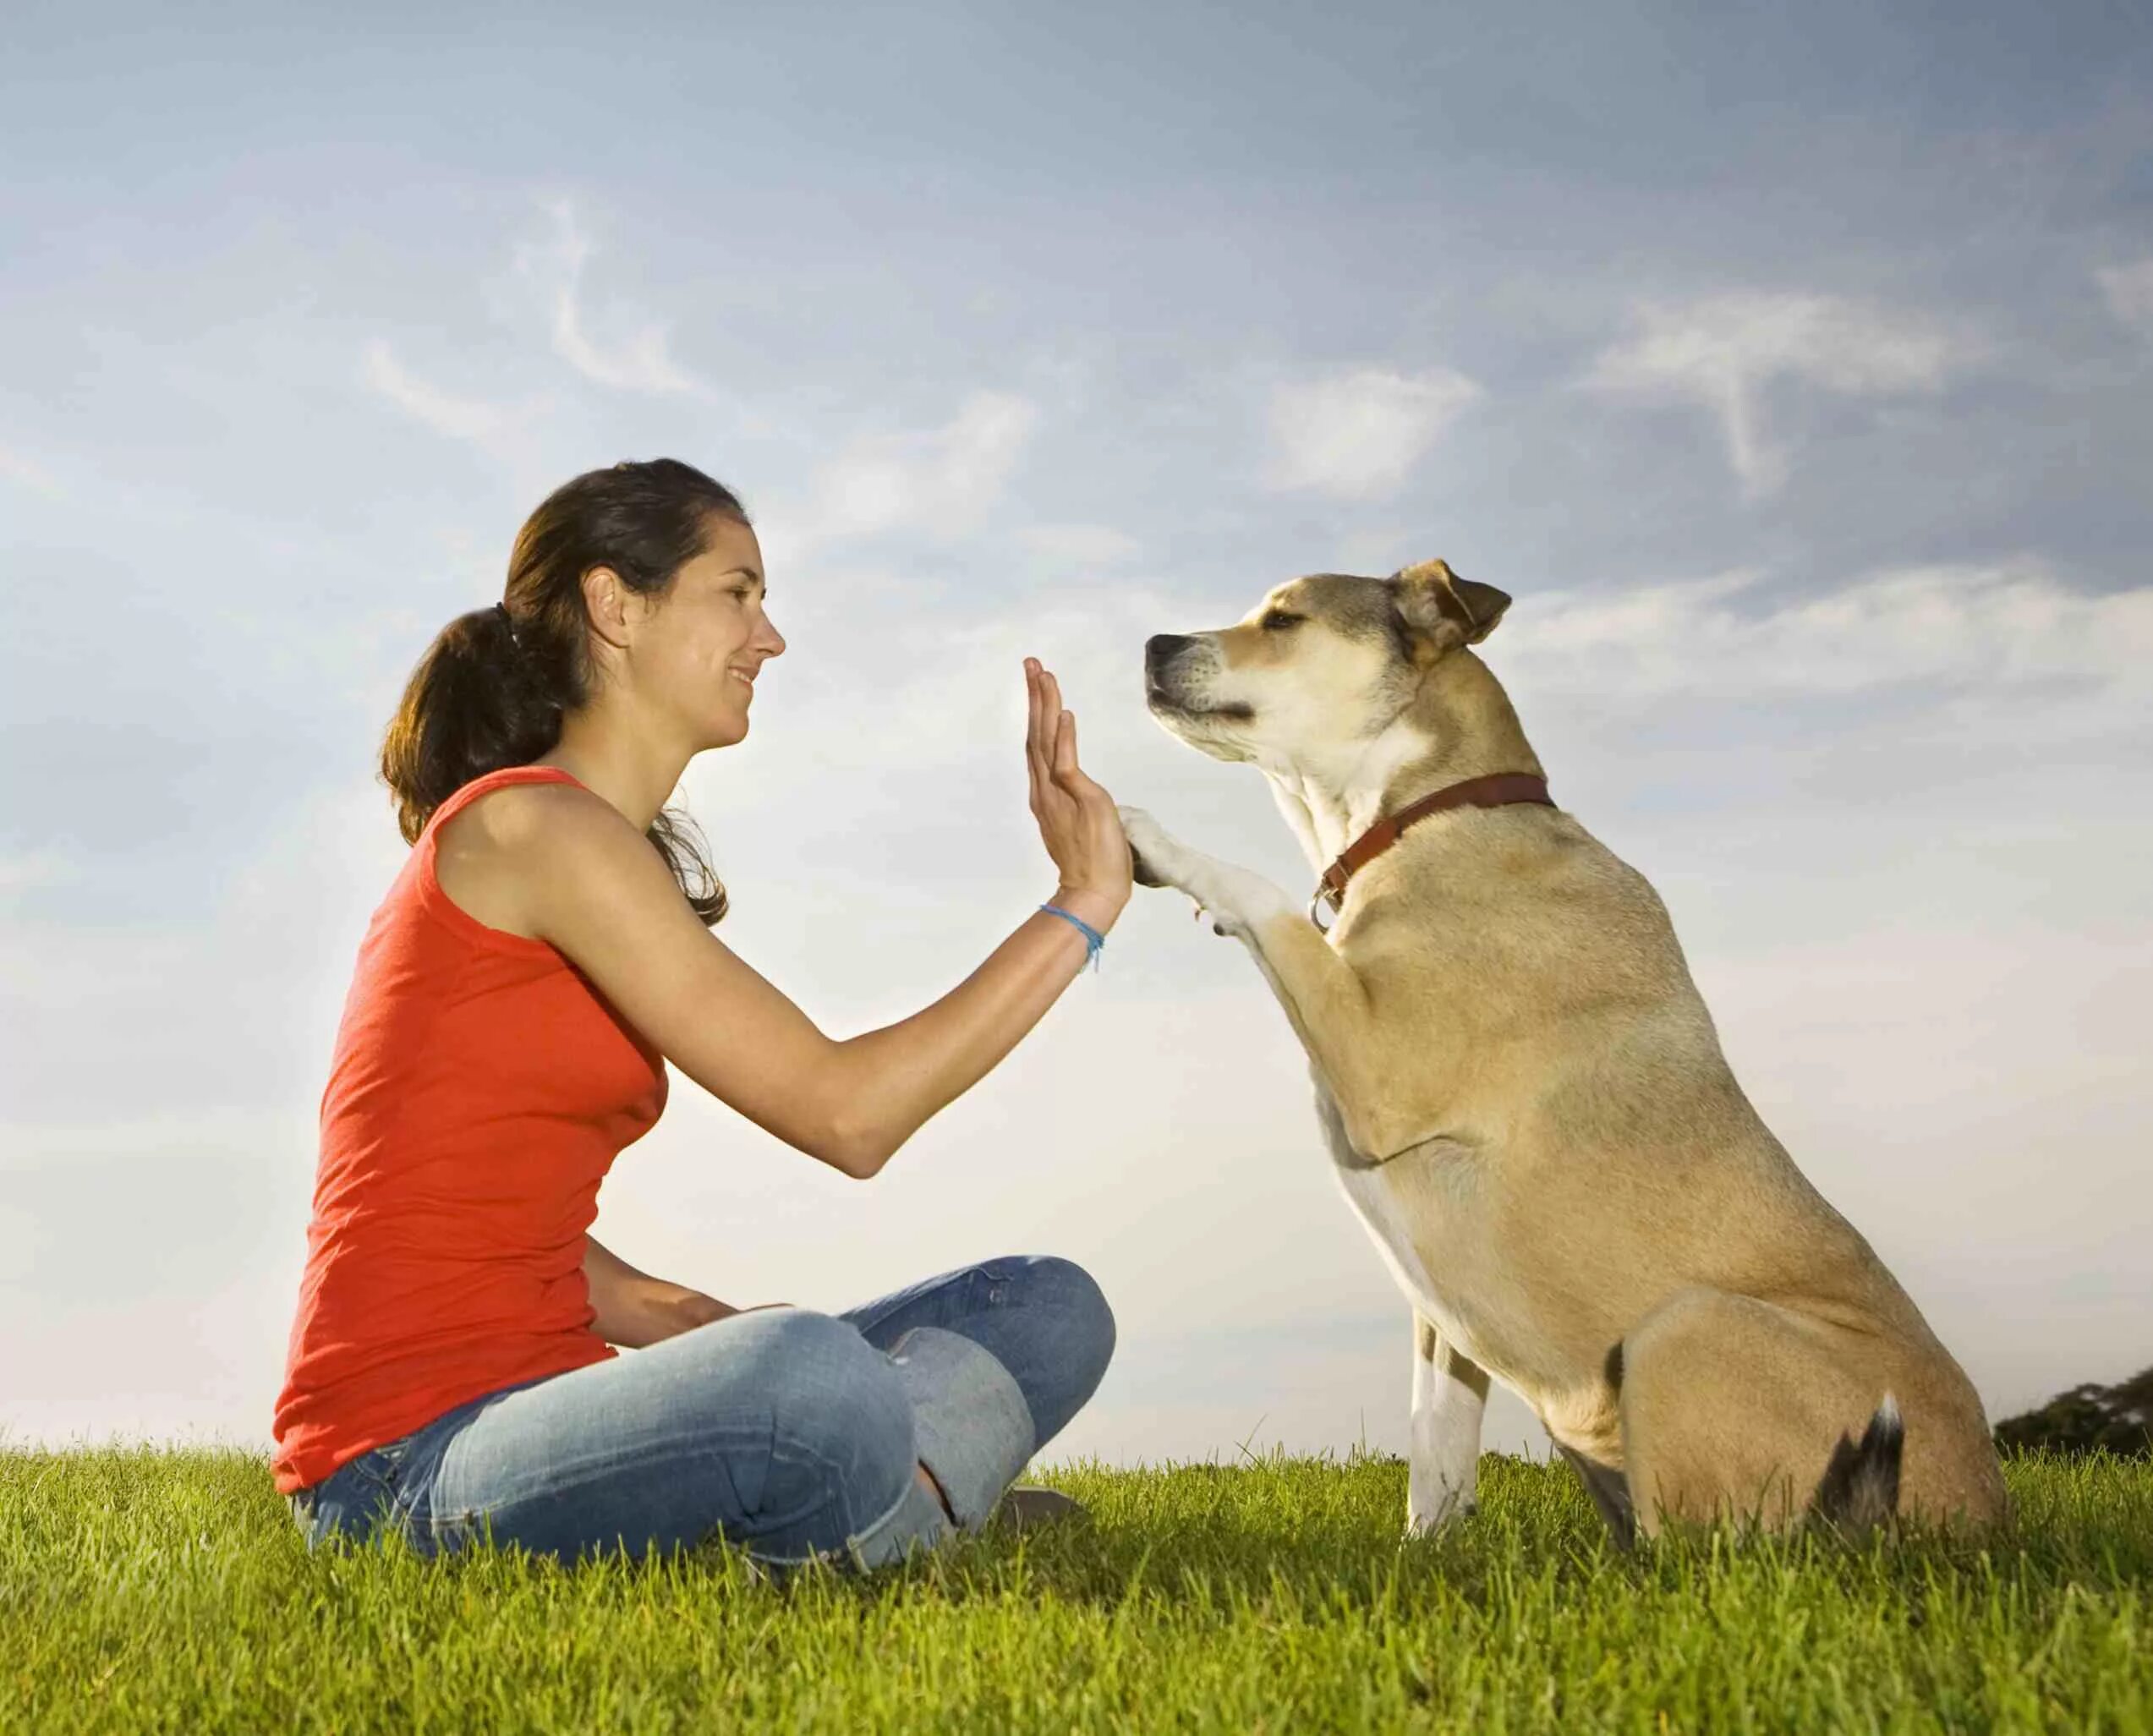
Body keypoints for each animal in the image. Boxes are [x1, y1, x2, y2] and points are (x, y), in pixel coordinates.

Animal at [1119, 564, 2006, 1542]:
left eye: (1283, 618)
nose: (1152, 644)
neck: (1431, 812)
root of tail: (1979, 1523)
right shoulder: (1441, 1318)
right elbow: (1436, 1449)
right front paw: (1426, 1555)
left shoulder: (1379, 1068)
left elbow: (1261, 895)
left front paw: (1144, 834)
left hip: (1682, 1327)